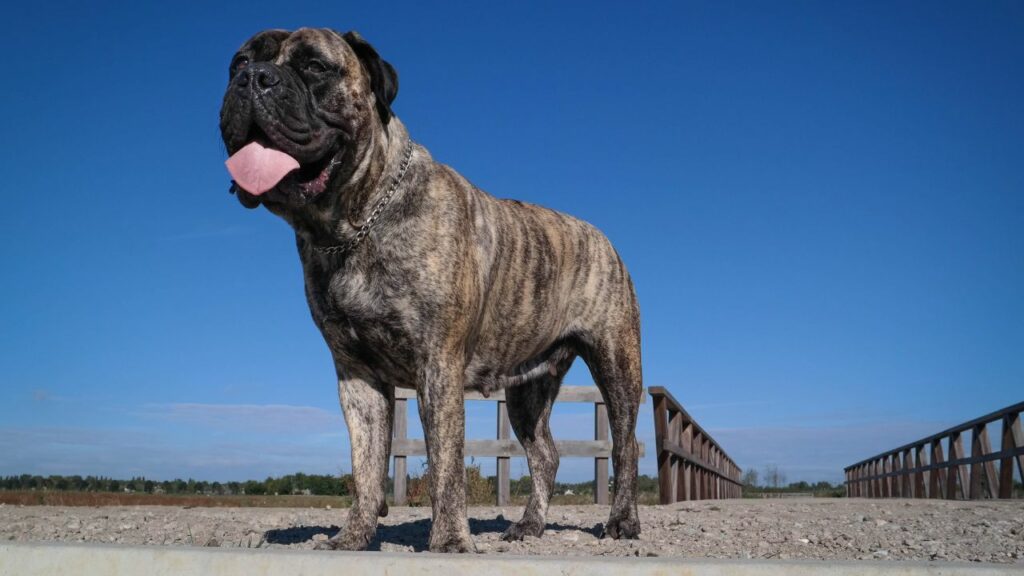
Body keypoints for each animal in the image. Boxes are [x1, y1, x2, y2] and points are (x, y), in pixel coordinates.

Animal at [220, 28, 643, 553]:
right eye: (237, 63)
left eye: (315, 66)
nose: (253, 79)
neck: (354, 224)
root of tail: (601, 236)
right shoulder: (356, 375)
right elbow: (366, 466)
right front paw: (353, 536)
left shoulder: (437, 364)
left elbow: (445, 465)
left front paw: (450, 540)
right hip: (527, 388)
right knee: (545, 453)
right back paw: (528, 525)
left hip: (616, 363)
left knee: (626, 444)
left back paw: (622, 520)